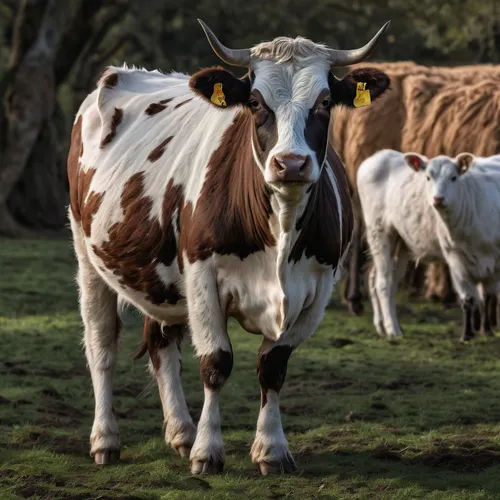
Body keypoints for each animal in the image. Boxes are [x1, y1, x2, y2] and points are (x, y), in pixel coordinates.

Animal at [67, 18, 390, 472]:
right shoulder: (203, 278)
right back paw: (106, 439)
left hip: (161, 280)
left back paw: (180, 432)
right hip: (87, 256)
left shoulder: (319, 289)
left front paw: (271, 449)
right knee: (102, 347)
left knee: (161, 342)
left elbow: (272, 367)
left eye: (325, 101)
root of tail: (121, 73)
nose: (290, 163)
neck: (280, 232)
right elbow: (215, 364)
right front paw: (208, 451)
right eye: (255, 102)